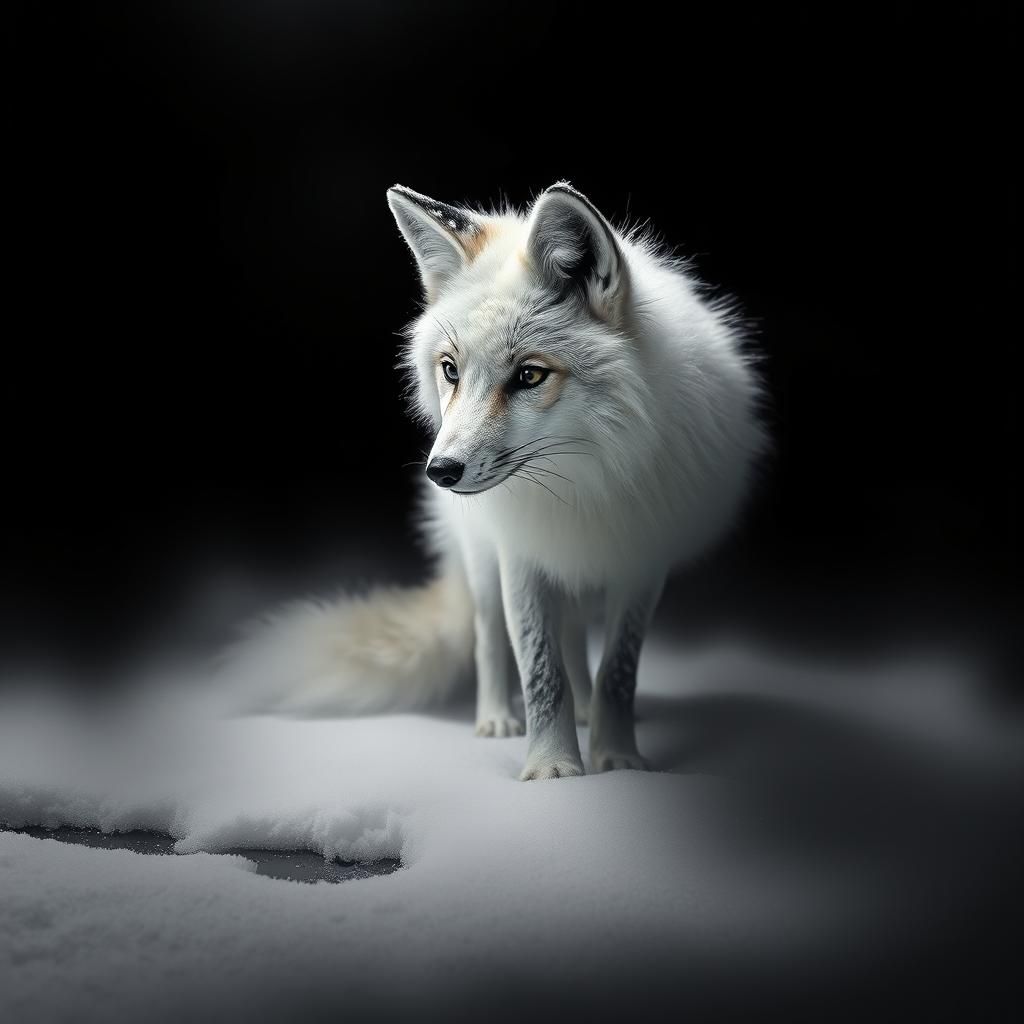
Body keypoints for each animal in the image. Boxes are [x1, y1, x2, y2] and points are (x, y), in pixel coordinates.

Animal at [223, 183, 766, 780]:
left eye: (529, 375)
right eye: (450, 370)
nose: (440, 472)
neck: (586, 481)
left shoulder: (642, 563)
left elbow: (616, 673)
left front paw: (617, 757)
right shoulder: (521, 555)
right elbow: (539, 670)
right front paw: (552, 766)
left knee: (575, 643)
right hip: (484, 568)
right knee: (490, 642)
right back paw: (496, 719)